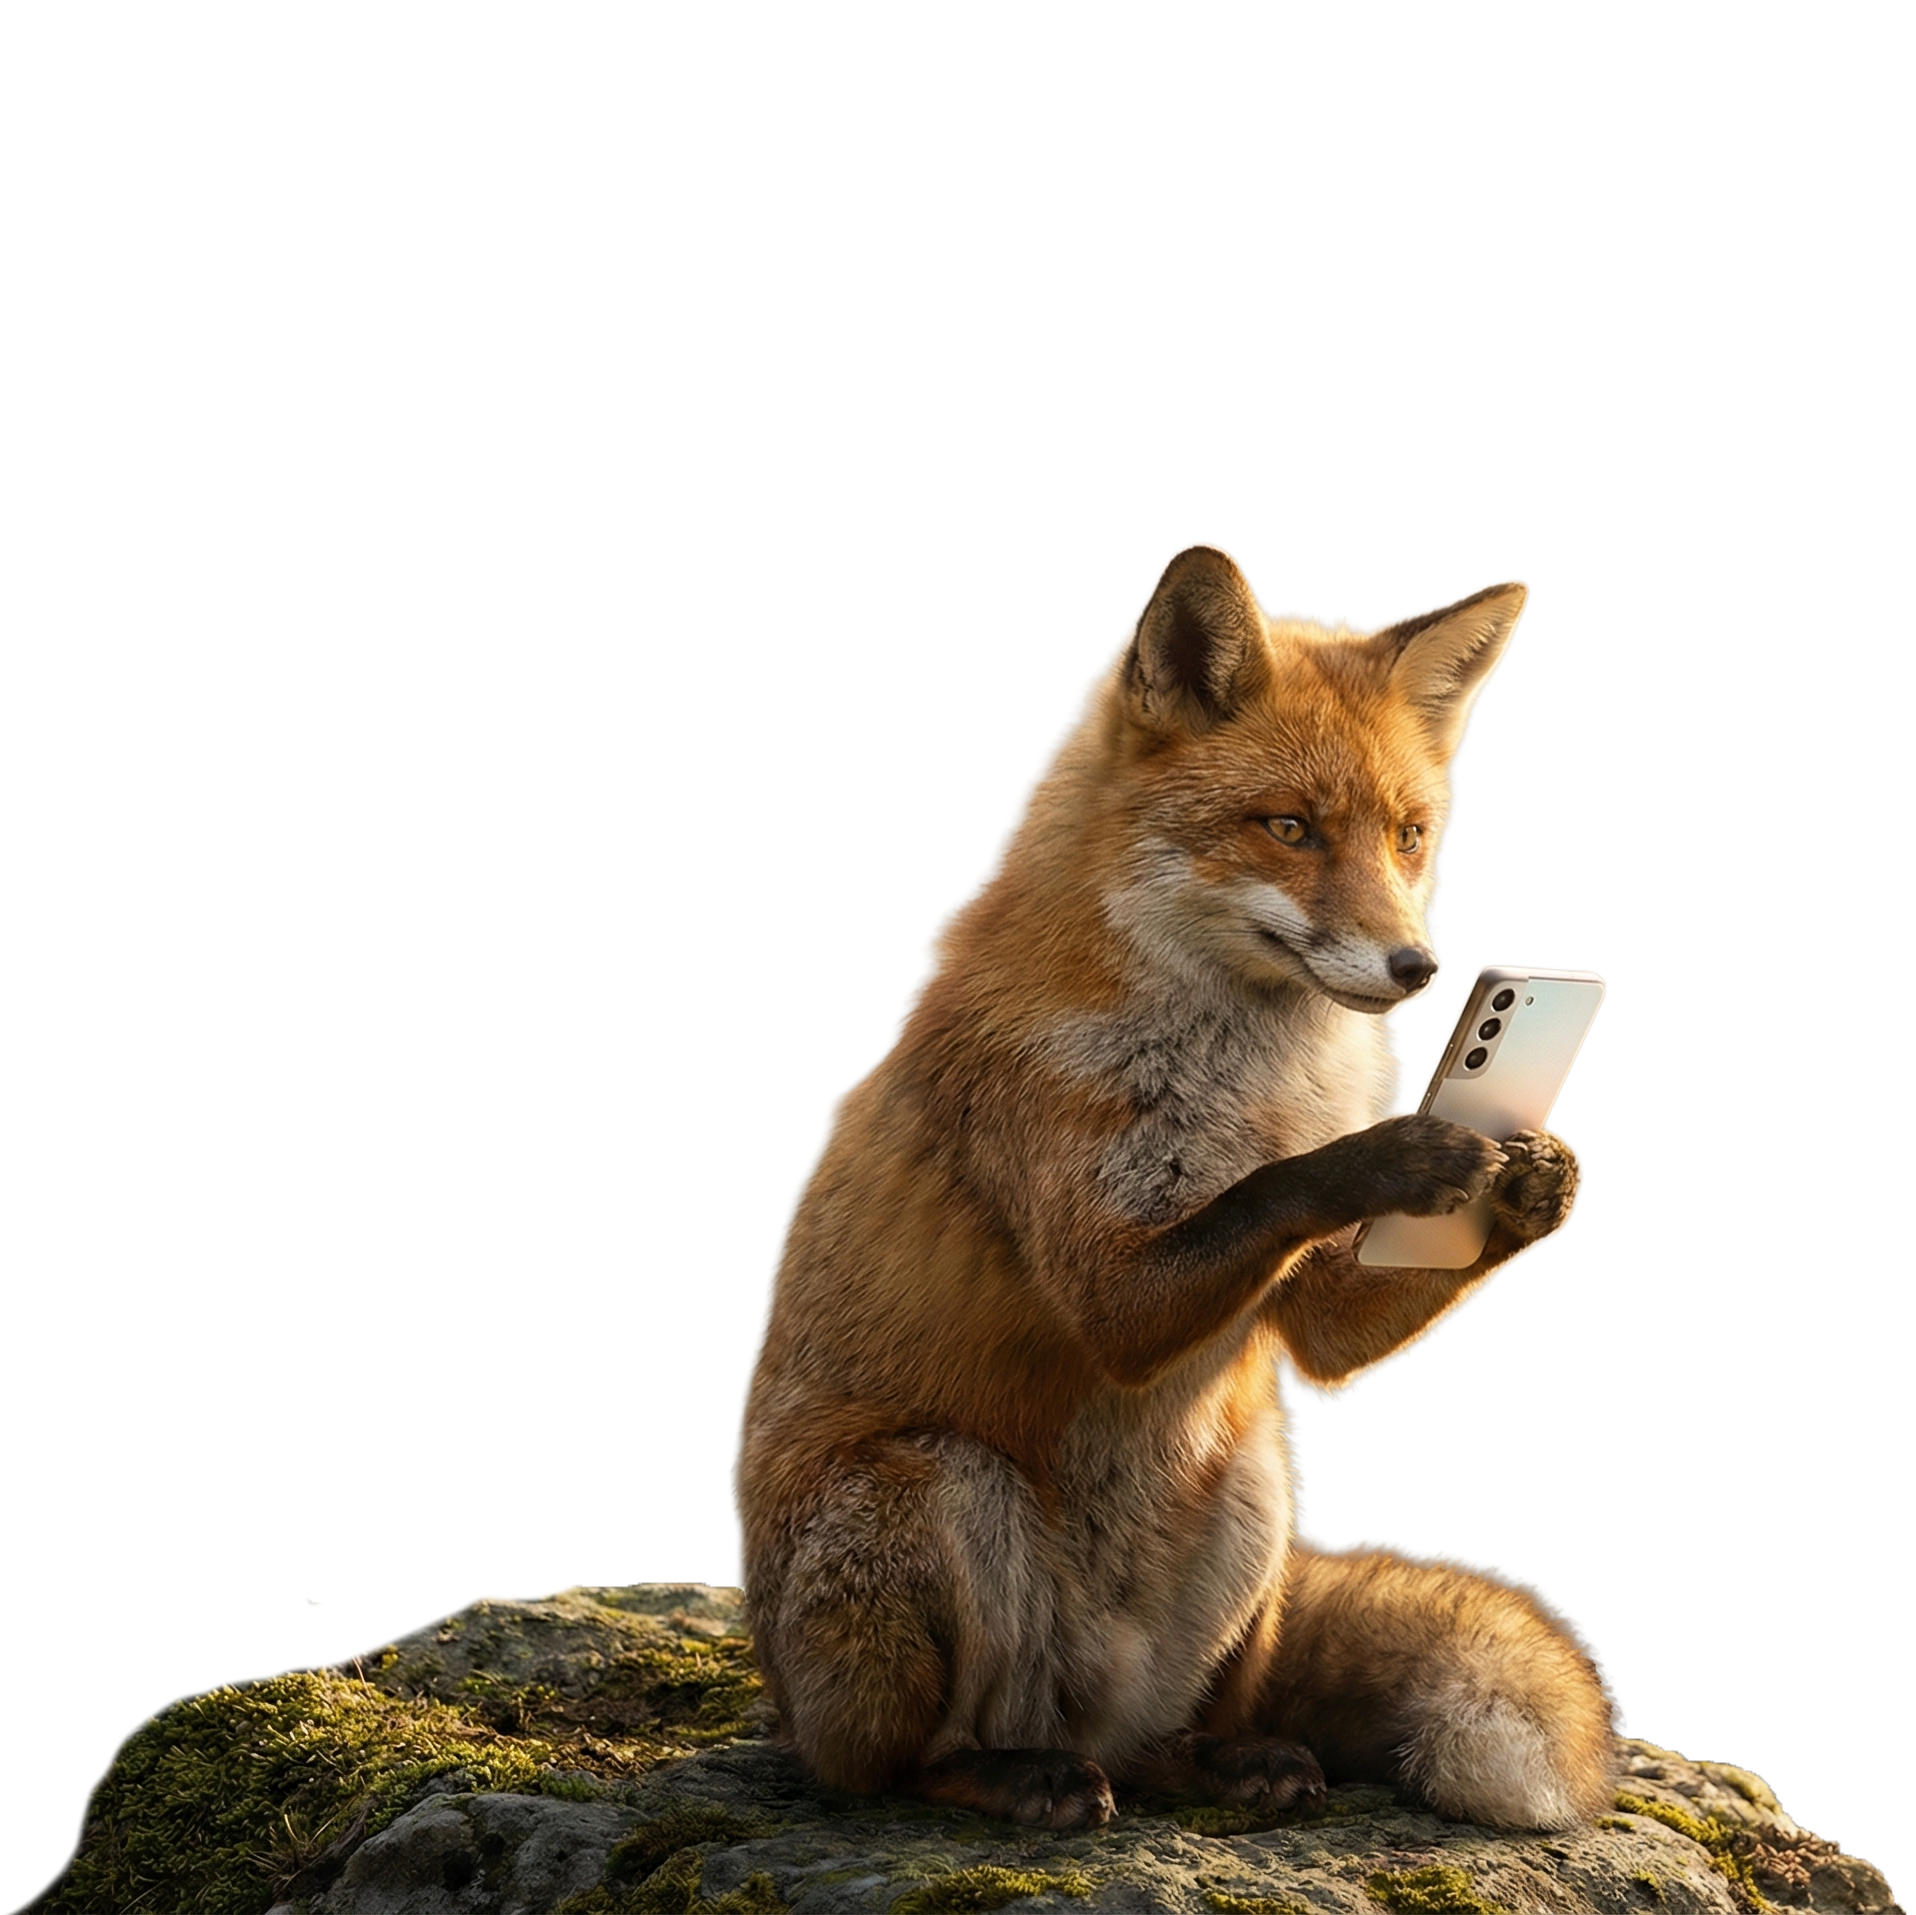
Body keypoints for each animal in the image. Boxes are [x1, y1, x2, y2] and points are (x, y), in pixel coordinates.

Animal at [736, 545, 1617, 1835]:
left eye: (1407, 836)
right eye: (1289, 827)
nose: (1418, 968)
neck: (1235, 1075)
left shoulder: (1309, 1316)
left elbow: (1324, 1318)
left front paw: (1531, 1183)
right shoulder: (1106, 1280)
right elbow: (1273, 1190)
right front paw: (1395, 1151)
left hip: (1257, 1482)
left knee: (1162, 1738)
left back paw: (1217, 1758)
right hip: (934, 1492)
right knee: (900, 1763)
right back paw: (1005, 1777)